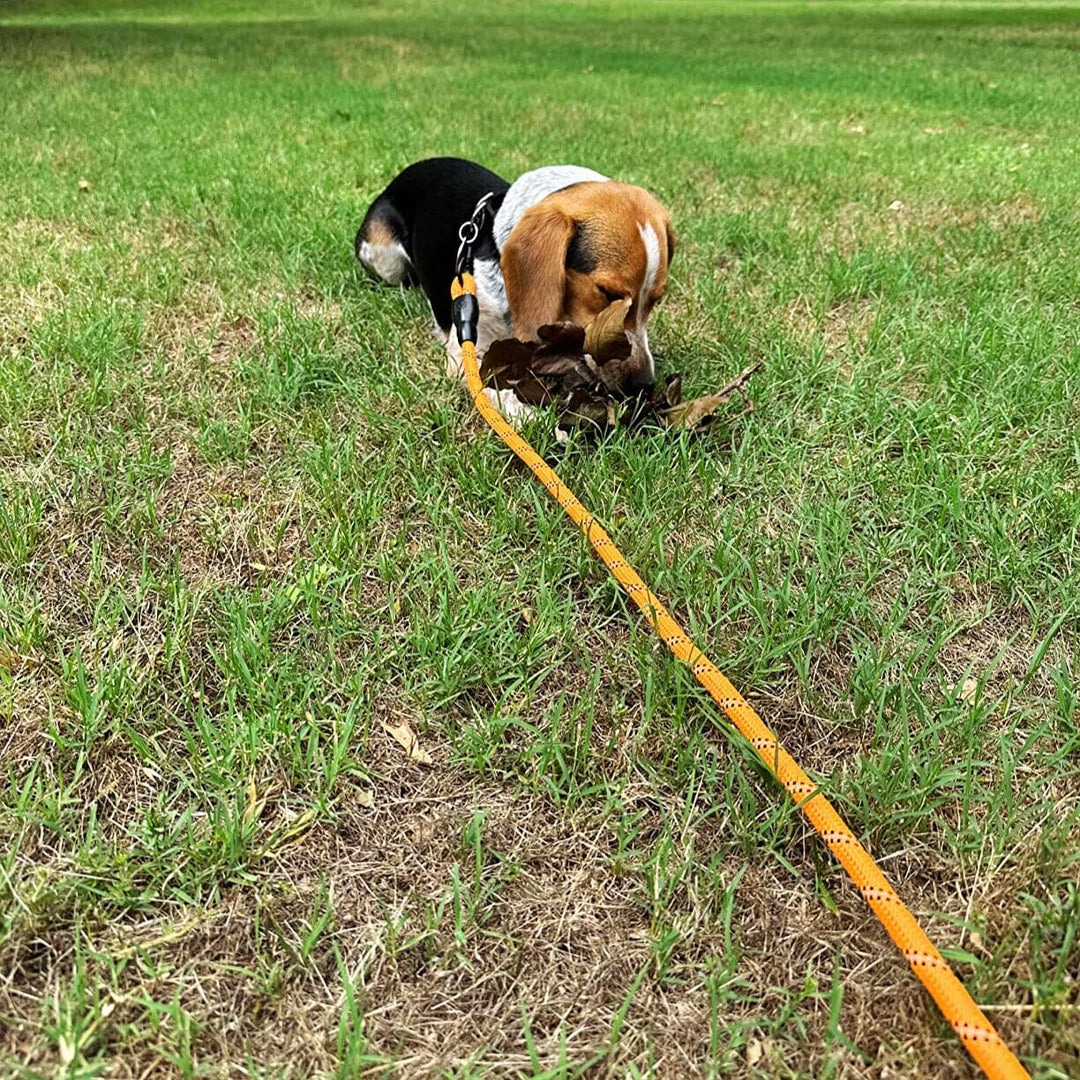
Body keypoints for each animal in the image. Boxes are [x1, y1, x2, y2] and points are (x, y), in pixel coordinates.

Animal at [358, 157, 669, 419]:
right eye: (607, 293)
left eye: (656, 299)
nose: (644, 386)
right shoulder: (466, 351)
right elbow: (496, 388)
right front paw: (536, 419)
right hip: (384, 258)